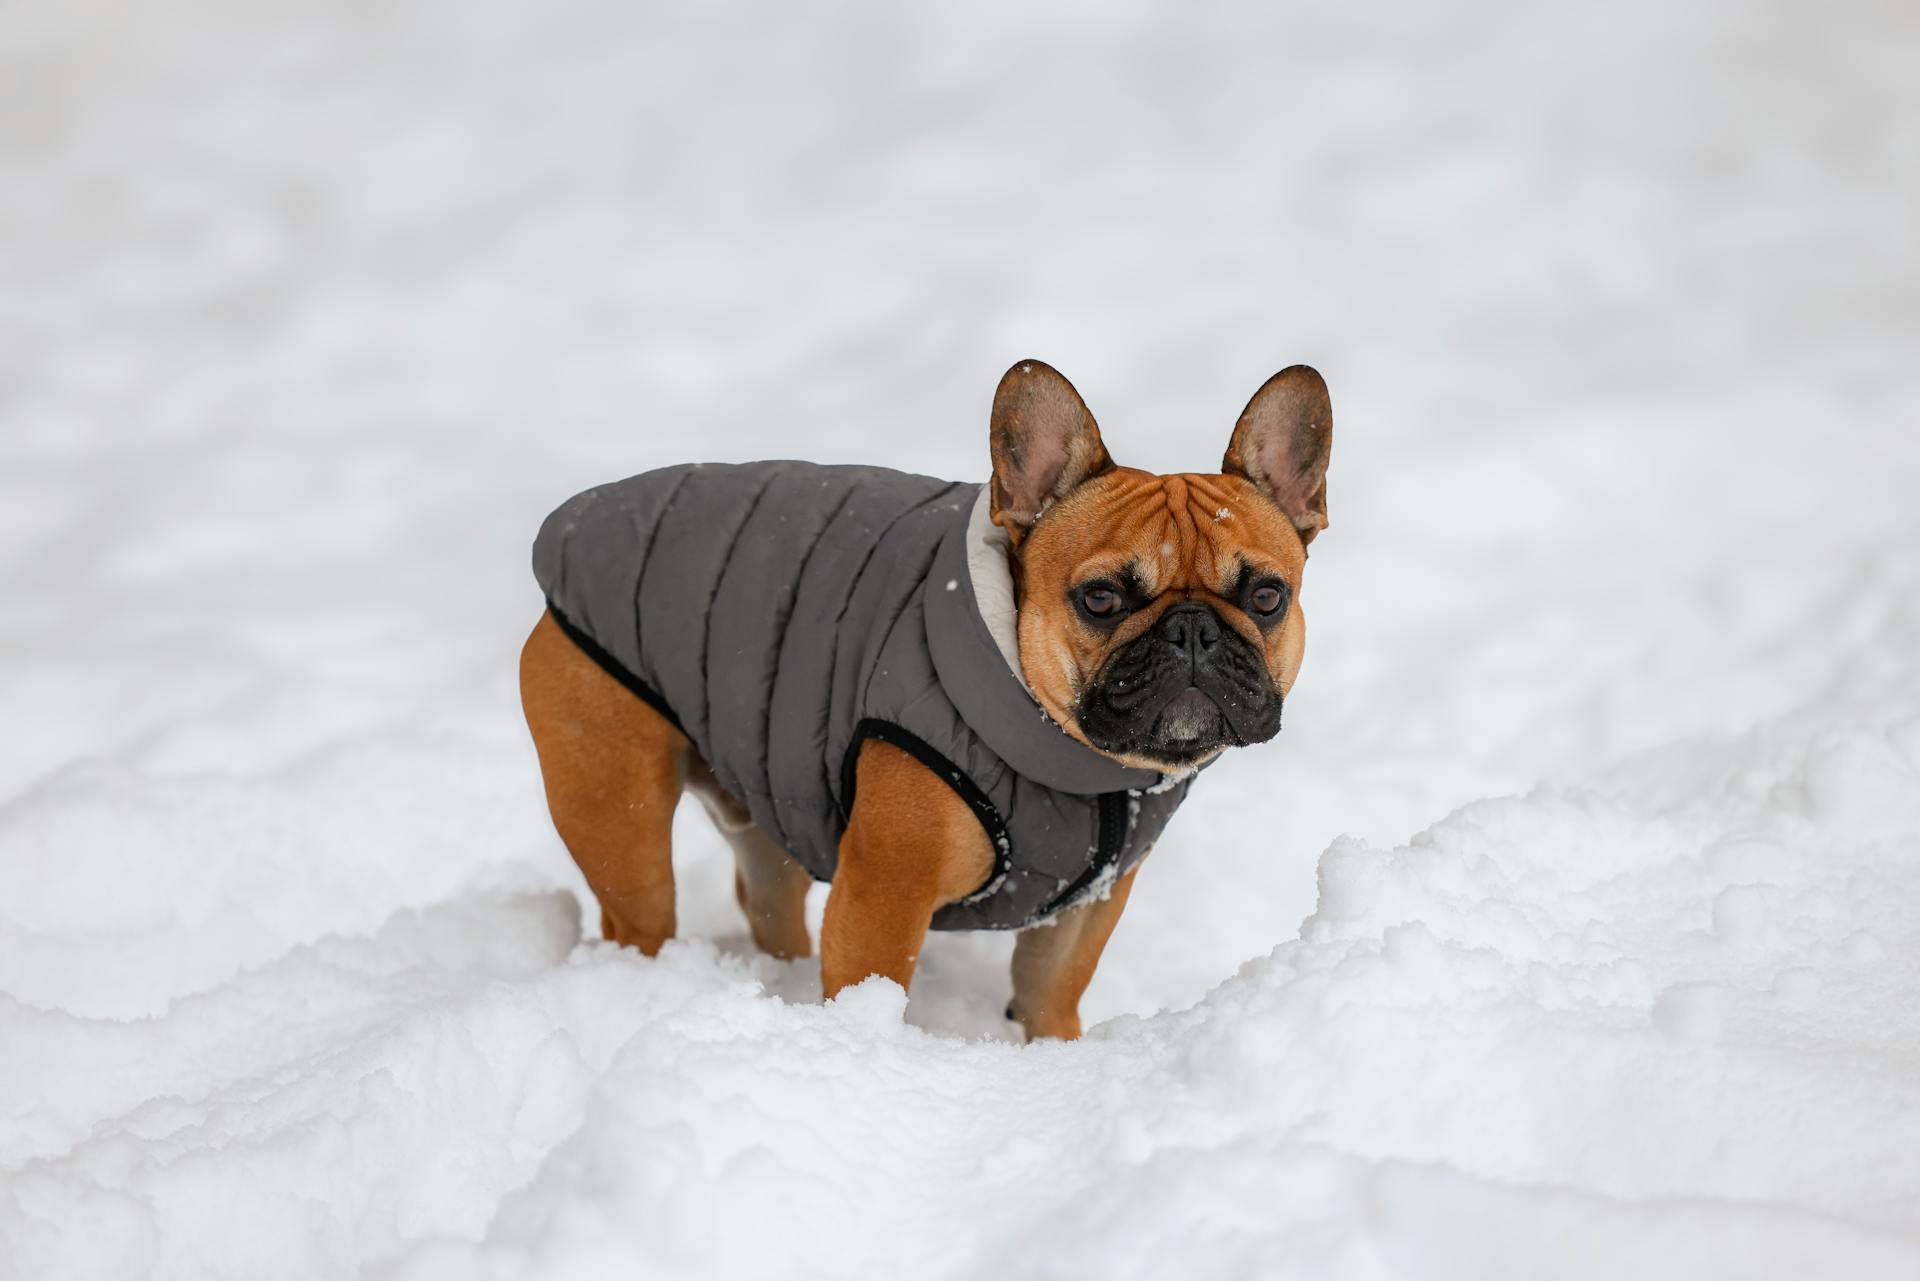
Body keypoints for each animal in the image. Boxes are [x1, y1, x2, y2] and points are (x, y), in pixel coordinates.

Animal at [526, 361, 1336, 1044]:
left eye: (1267, 596)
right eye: (1102, 598)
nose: (1193, 629)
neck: (1078, 764)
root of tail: (573, 522)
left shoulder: (1087, 909)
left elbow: (1051, 992)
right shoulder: (883, 897)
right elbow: (871, 986)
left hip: (762, 808)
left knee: (768, 899)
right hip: (618, 811)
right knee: (640, 907)